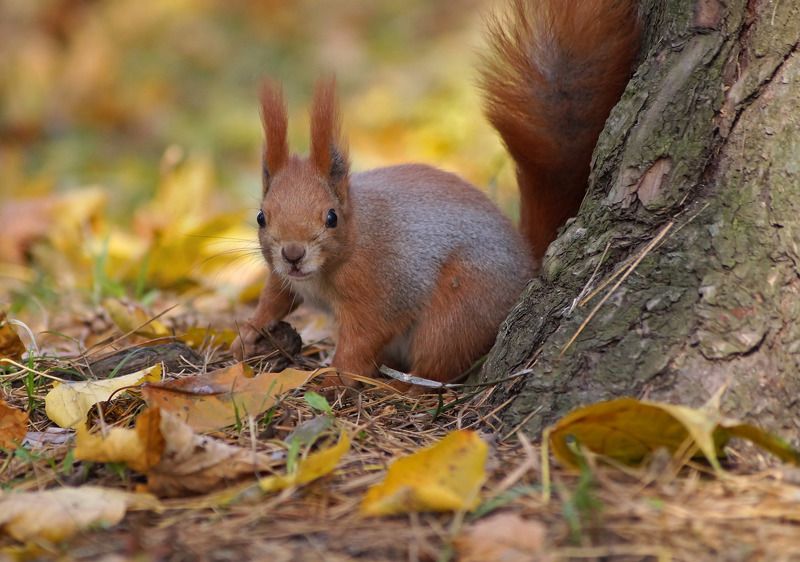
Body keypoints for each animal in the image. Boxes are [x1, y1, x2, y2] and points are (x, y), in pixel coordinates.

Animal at [231, 0, 641, 387]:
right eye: (261, 217)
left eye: (331, 217)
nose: (293, 254)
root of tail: (529, 263)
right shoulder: (283, 277)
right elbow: (274, 299)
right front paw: (247, 334)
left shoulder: (382, 288)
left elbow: (363, 339)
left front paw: (335, 379)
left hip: (458, 313)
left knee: (434, 371)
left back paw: (396, 390)